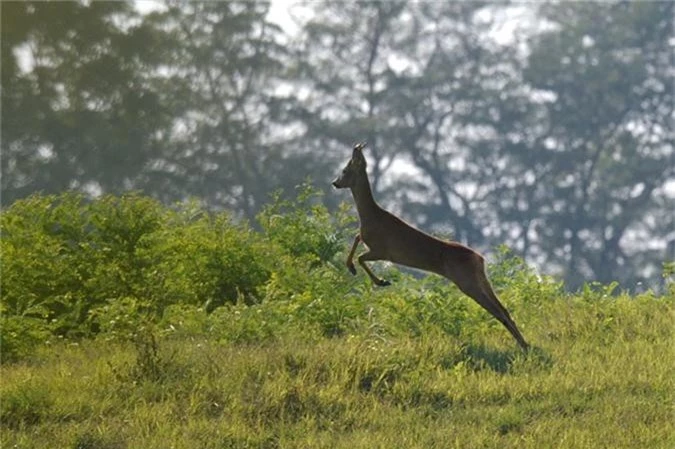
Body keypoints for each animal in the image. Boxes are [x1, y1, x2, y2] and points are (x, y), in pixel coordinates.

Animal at [336, 142, 532, 348]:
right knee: (503, 308)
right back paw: (524, 344)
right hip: (480, 278)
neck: (370, 215)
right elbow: (356, 238)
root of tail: (480, 258)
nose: (335, 182)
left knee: (498, 311)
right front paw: (351, 268)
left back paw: (523, 346)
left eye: (345, 170)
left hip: (467, 282)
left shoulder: (382, 251)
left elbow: (360, 256)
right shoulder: (371, 244)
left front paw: (380, 280)